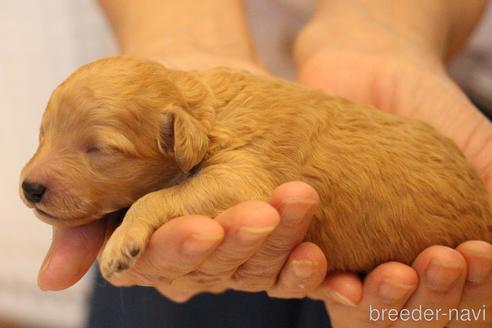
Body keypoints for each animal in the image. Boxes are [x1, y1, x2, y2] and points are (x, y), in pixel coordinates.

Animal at [19, 55, 492, 280]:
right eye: (43, 133)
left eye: (100, 149)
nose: (29, 188)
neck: (209, 115)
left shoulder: (243, 173)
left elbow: (156, 198)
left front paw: (122, 242)